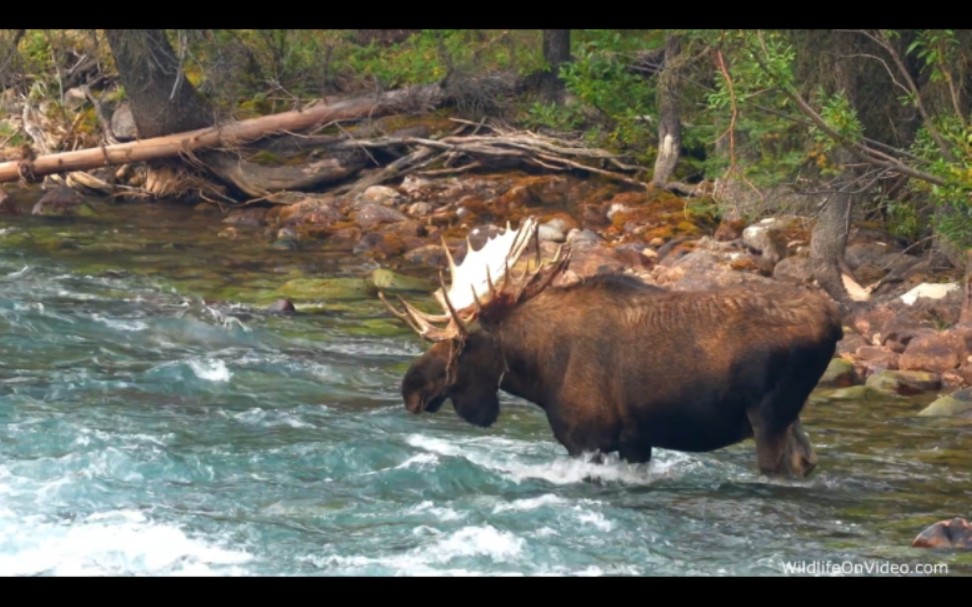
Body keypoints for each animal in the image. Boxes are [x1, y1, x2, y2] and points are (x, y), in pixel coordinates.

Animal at [380, 216, 844, 478]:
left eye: (461, 342)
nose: (410, 388)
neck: (540, 373)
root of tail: (835, 324)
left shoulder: (589, 440)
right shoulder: (634, 443)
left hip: (769, 416)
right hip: (791, 416)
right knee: (806, 461)